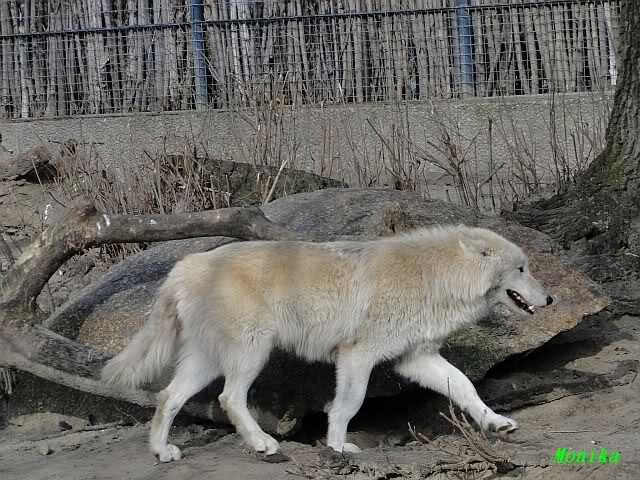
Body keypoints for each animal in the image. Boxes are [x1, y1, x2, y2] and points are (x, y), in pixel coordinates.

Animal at [102, 225, 553, 462]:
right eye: (522, 269)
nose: (550, 299)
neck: (434, 276)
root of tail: (184, 265)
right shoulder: (357, 356)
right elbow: (348, 404)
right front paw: (337, 446)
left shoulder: (416, 358)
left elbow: (465, 387)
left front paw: (495, 422)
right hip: (252, 353)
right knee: (229, 398)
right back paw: (264, 444)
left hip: (209, 362)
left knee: (167, 397)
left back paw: (161, 451)